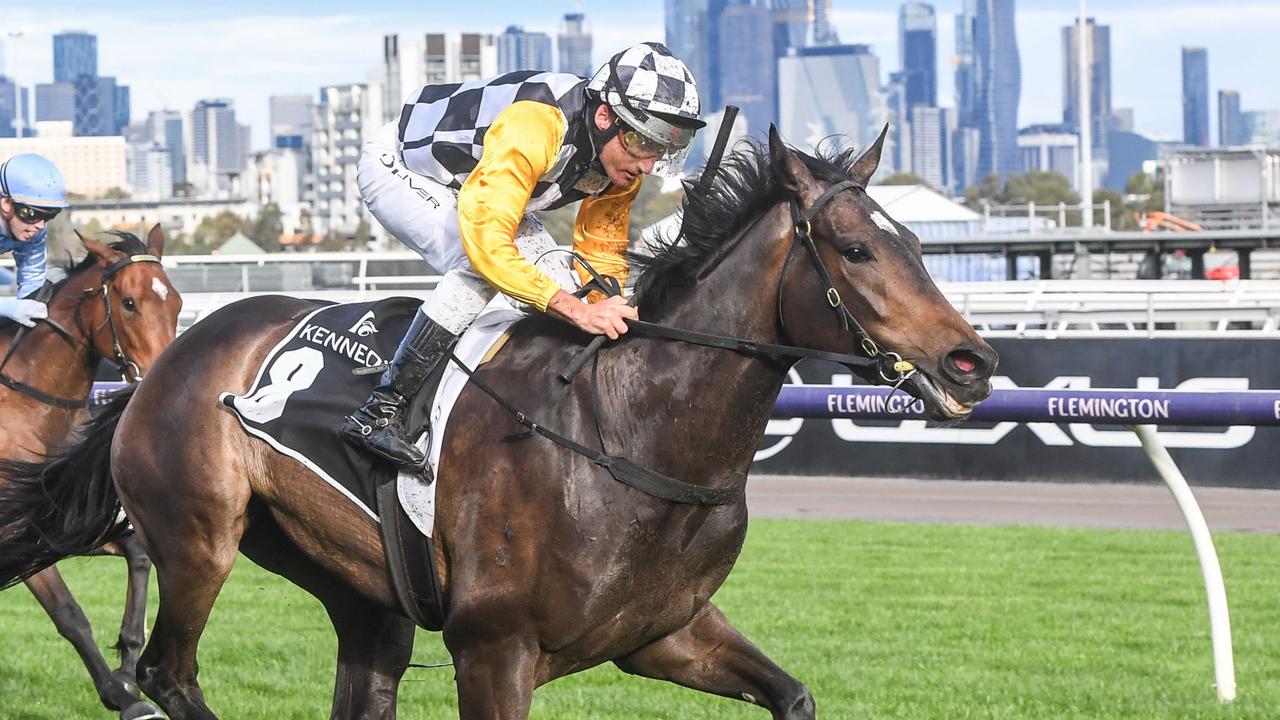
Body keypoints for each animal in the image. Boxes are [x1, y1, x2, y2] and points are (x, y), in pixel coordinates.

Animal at [0, 226, 179, 720]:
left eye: (176, 301)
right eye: (129, 302)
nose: (161, 378)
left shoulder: (58, 521)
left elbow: (138, 554)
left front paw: (128, 668)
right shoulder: (14, 532)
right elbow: (69, 613)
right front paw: (122, 697)